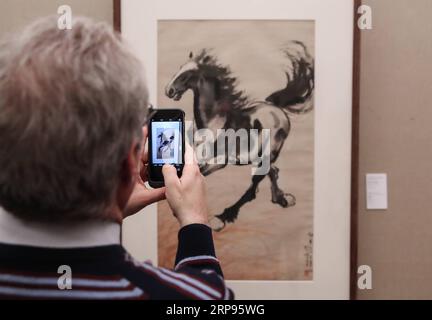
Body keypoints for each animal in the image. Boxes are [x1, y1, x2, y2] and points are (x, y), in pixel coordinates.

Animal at [165, 41, 314, 230]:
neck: (214, 122)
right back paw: (281, 199)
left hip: (269, 152)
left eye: (187, 74)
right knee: (272, 172)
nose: (169, 90)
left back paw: (224, 217)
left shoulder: (219, 162)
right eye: (179, 68)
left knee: (257, 181)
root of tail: (275, 107)